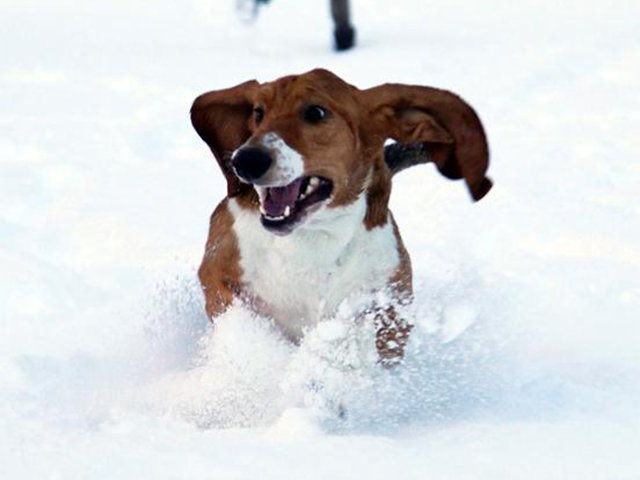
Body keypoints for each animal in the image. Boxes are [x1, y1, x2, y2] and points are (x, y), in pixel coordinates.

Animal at [190, 68, 490, 364]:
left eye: (316, 112)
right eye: (258, 112)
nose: (245, 160)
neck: (316, 237)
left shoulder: (391, 299)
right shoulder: (216, 272)